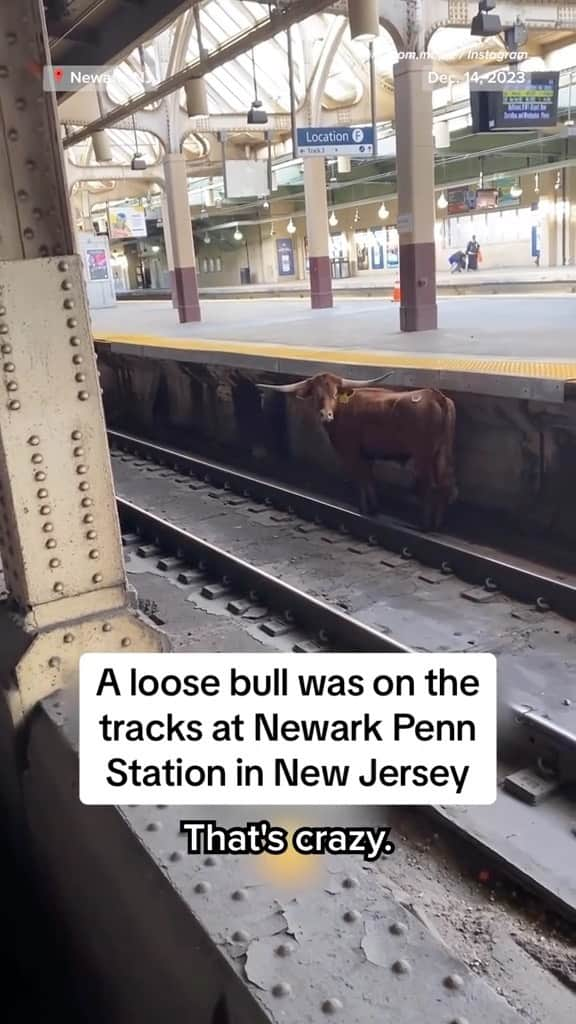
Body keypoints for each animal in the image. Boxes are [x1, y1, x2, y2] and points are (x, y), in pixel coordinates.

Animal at [258, 374, 455, 532]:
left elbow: (361, 478)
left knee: (430, 485)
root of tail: (435, 395)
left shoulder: (351, 451)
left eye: (335, 393)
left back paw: (425, 526)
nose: (326, 415)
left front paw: (364, 509)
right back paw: (438, 525)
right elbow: (368, 478)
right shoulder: (366, 454)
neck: (342, 408)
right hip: (442, 452)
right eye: (316, 395)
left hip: (423, 454)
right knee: (445, 484)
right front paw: (373, 508)